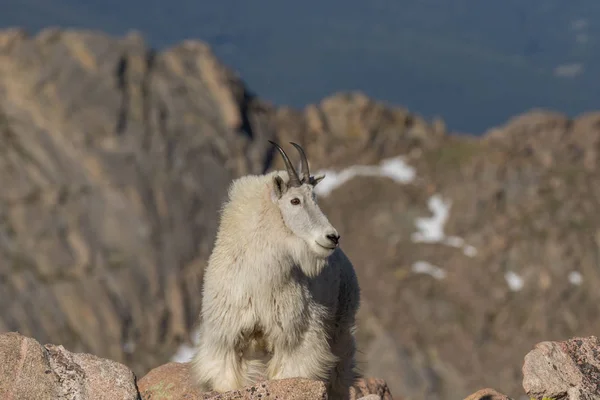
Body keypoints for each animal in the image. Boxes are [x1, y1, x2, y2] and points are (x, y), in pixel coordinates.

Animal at [192, 141, 360, 400]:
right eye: (295, 201)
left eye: (315, 198)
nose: (332, 237)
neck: (258, 275)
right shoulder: (228, 336)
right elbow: (227, 378)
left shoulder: (296, 334)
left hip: (341, 323)